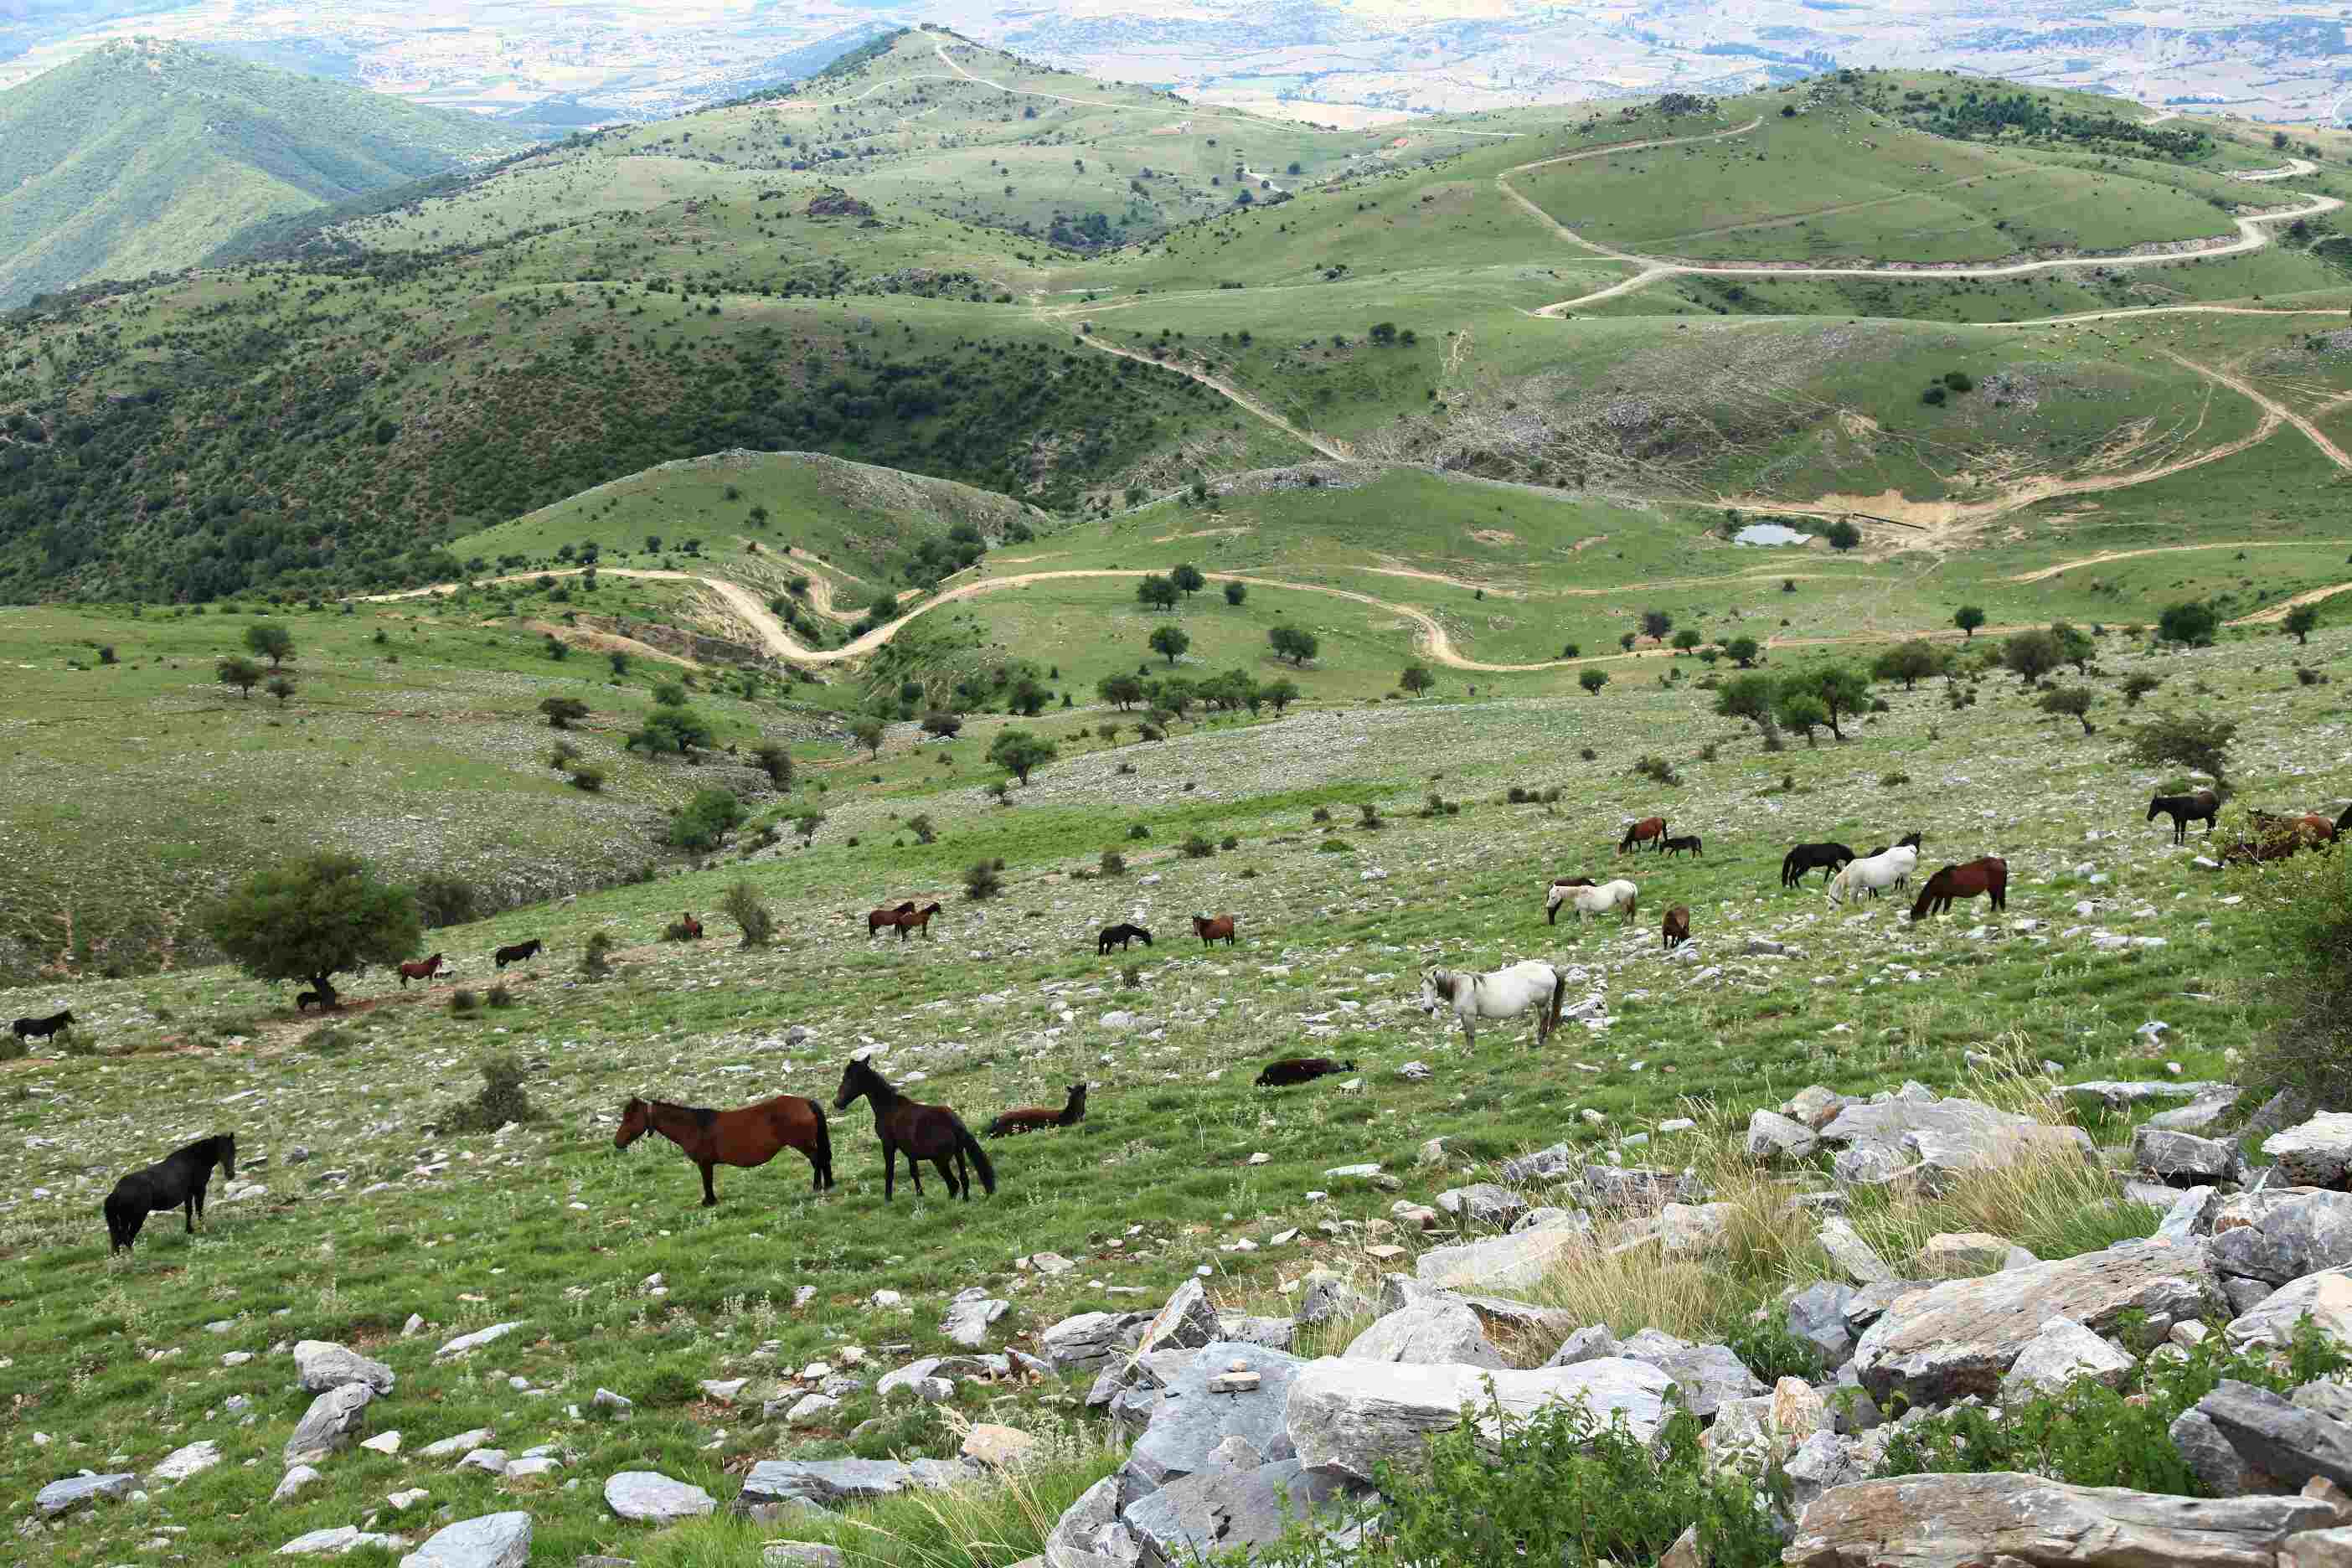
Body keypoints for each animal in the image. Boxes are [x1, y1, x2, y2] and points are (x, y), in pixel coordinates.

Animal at [106, 1132, 236, 1260]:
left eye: (233, 1151)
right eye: (221, 1150)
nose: (230, 1175)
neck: (195, 1159)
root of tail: (116, 1192)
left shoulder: (188, 1194)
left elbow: (189, 1211)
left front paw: (189, 1230)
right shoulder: (199, 1190)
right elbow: (199, 1210)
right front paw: (203, 1229)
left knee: (120, 1237)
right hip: (136, 1217)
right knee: (127, 1236)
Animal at [611, 1100, 833, 1213]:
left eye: (629, 1118)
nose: (617, 1142)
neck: (692, 1126)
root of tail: (805, 1102)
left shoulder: (705, 1163)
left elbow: (707, 1182)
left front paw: (709, 1201)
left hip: (803, 1144)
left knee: (817, 1160)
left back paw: (816, 1187)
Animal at [837, 1062, 992, 1213]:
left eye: (846, 1079)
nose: (836, 1103)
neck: (889, 1106)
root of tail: (955, 1124)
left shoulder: (888, 1144)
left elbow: (889, 1172)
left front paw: (888, 1198)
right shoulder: (910, 1151)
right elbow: (914, 1172)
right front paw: (920, 1194)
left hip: (940, 1161)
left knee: (953, 1184)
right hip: (959, 1154)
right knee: (963, 1179)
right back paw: (965, 1200)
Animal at [1421, 963, 1571, 1048]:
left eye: (1434, 987)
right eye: (1422, 987)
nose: (1428, 1009)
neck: (1458, 987)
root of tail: (1549, 969)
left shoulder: (1469, 1015)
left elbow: (1471, 1034)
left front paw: (1471, 1051)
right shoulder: (1462, 1016)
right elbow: (1466, 1033)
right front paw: (1466, 1050)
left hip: (1541, 1002)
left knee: (1544, 1017)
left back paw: (1539, 1040)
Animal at [1900, 860, 2013, 921]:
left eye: (1914, 916)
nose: (1912, 924)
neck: (1940, 880)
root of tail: (1999, 861)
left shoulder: (1948, 896)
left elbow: (1945, 908)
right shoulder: (1940, 896)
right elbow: (1935, 908)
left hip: (1997, 886)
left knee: (1998, 898)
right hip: (1991, 887)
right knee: (1995, 898)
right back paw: (1993, 912)